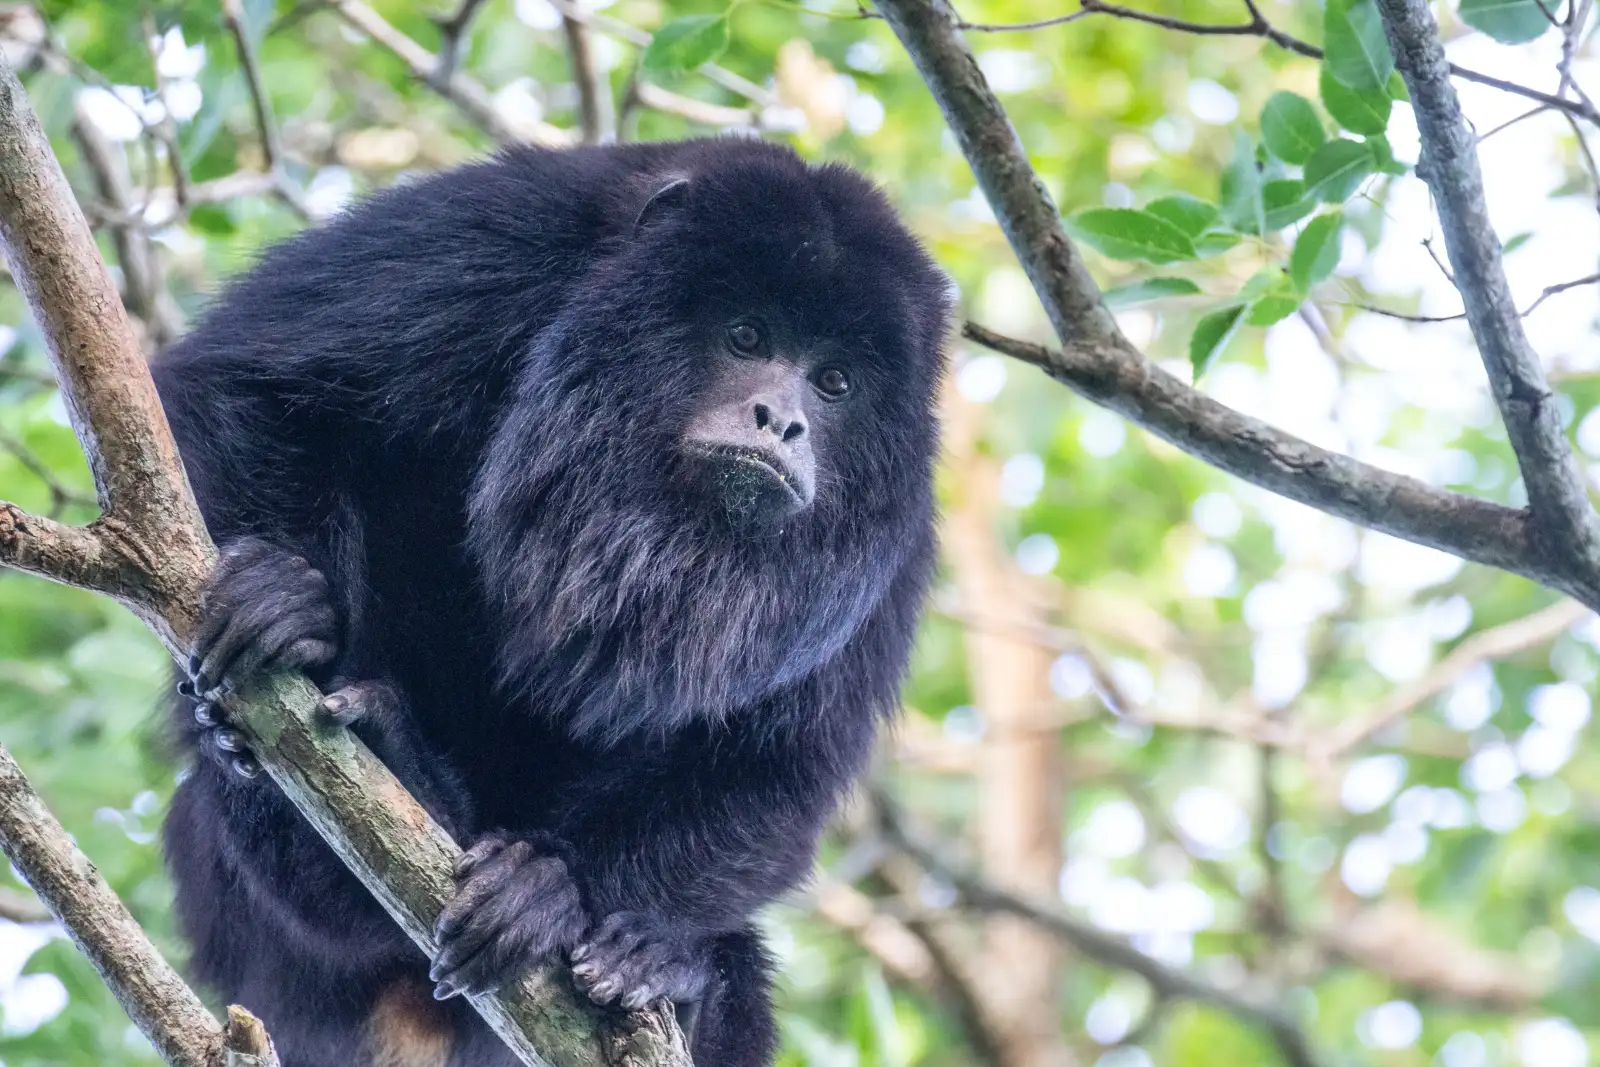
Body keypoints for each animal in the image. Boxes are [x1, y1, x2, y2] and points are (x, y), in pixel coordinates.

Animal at [153, 137, 949, 1067]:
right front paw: (286, 596)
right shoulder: (496, 240)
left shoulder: (896, 546)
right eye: (747, 334)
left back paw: (679, 979)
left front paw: (555, 888)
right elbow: (252, 382)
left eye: (834, 383)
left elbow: (781, 760)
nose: (781, 422)